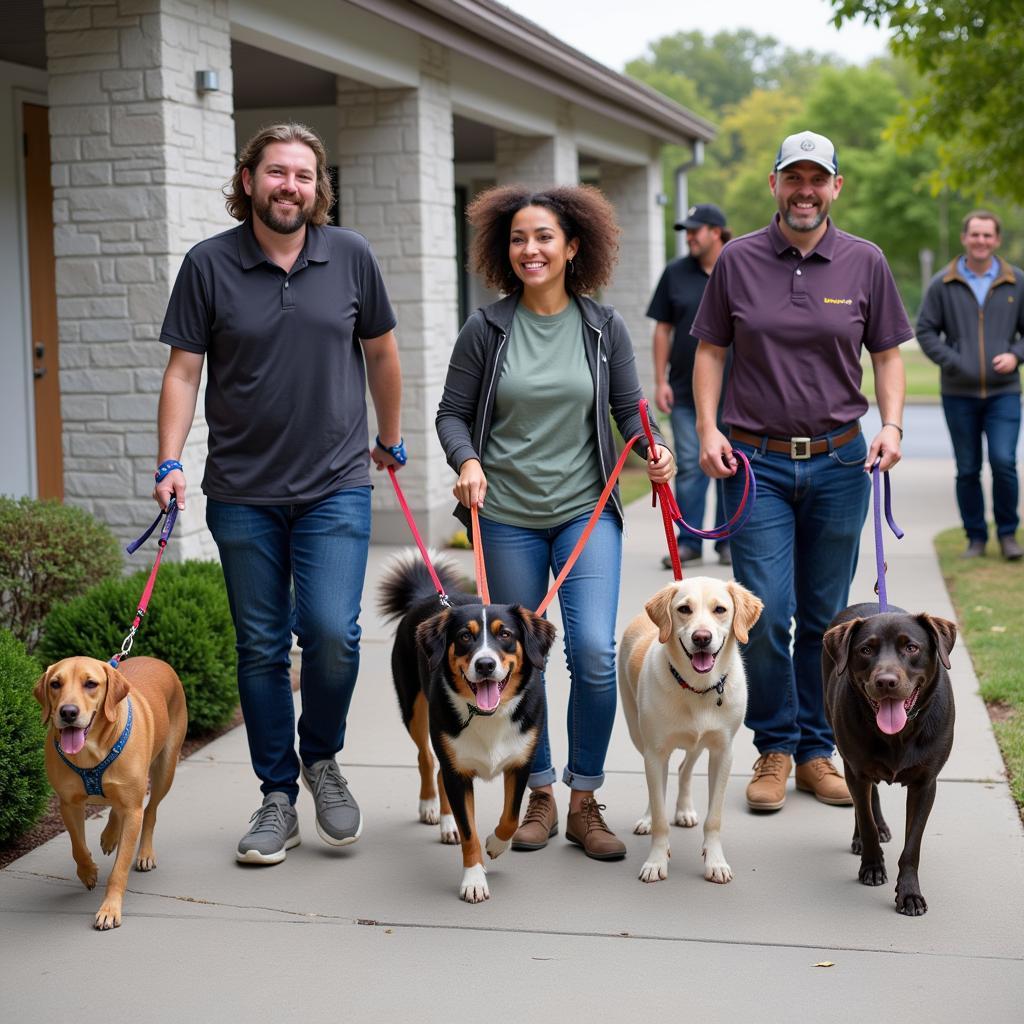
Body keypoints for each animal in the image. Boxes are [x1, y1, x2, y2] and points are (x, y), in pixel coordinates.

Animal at [378, 552, 552, 905]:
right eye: (464, 636)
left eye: (505, 634)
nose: (485, 664)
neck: (487, 715)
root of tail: (425, 597)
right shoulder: (457, 771)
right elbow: (469, 831)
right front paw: (473, 878)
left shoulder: (520, 764)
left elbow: (511, 817)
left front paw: (496, 845)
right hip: (416, 711)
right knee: (427, 761)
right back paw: (435, 811)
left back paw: (448, 825)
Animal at [614, 581, 761, 884]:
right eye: (684, 609)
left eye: (720, 609)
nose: (702, 637)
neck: (698, 687)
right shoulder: (655, 752)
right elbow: (660, 815)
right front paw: (656, 861)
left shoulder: (723, 752)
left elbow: (714, 818)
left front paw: (715, 862)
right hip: (639, 736)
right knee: (657, 786)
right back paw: (648, 818)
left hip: (698, 744)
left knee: (684, 768)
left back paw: (683, 810)